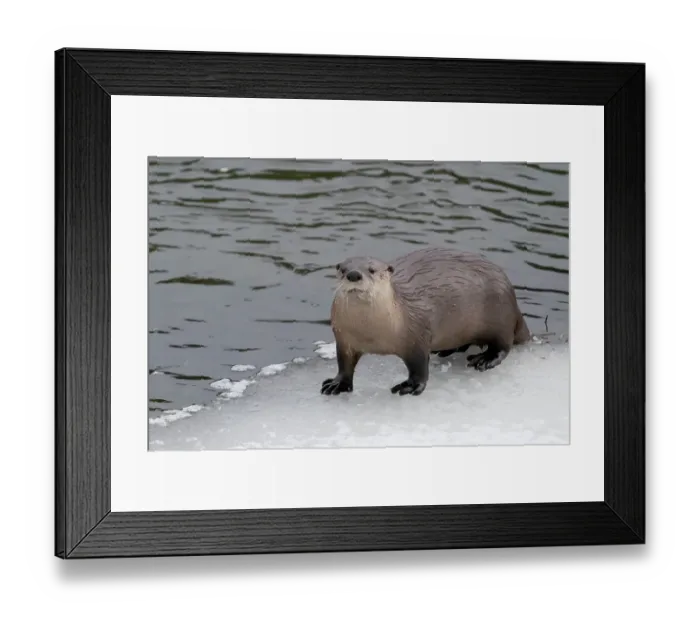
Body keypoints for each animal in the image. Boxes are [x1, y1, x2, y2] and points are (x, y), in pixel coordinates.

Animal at [320, 247, 530, 397]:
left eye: (372, 270)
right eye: (342, 269)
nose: (353, 275)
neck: (370, 334)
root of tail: (513, 301)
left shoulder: (416, 336)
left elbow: (419, 367)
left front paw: (410, 386)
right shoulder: (344, 341)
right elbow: (344, 365)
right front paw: (337, 383)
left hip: (500, 315)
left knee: (504, 345)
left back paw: (485, 359)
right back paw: (446, 350)